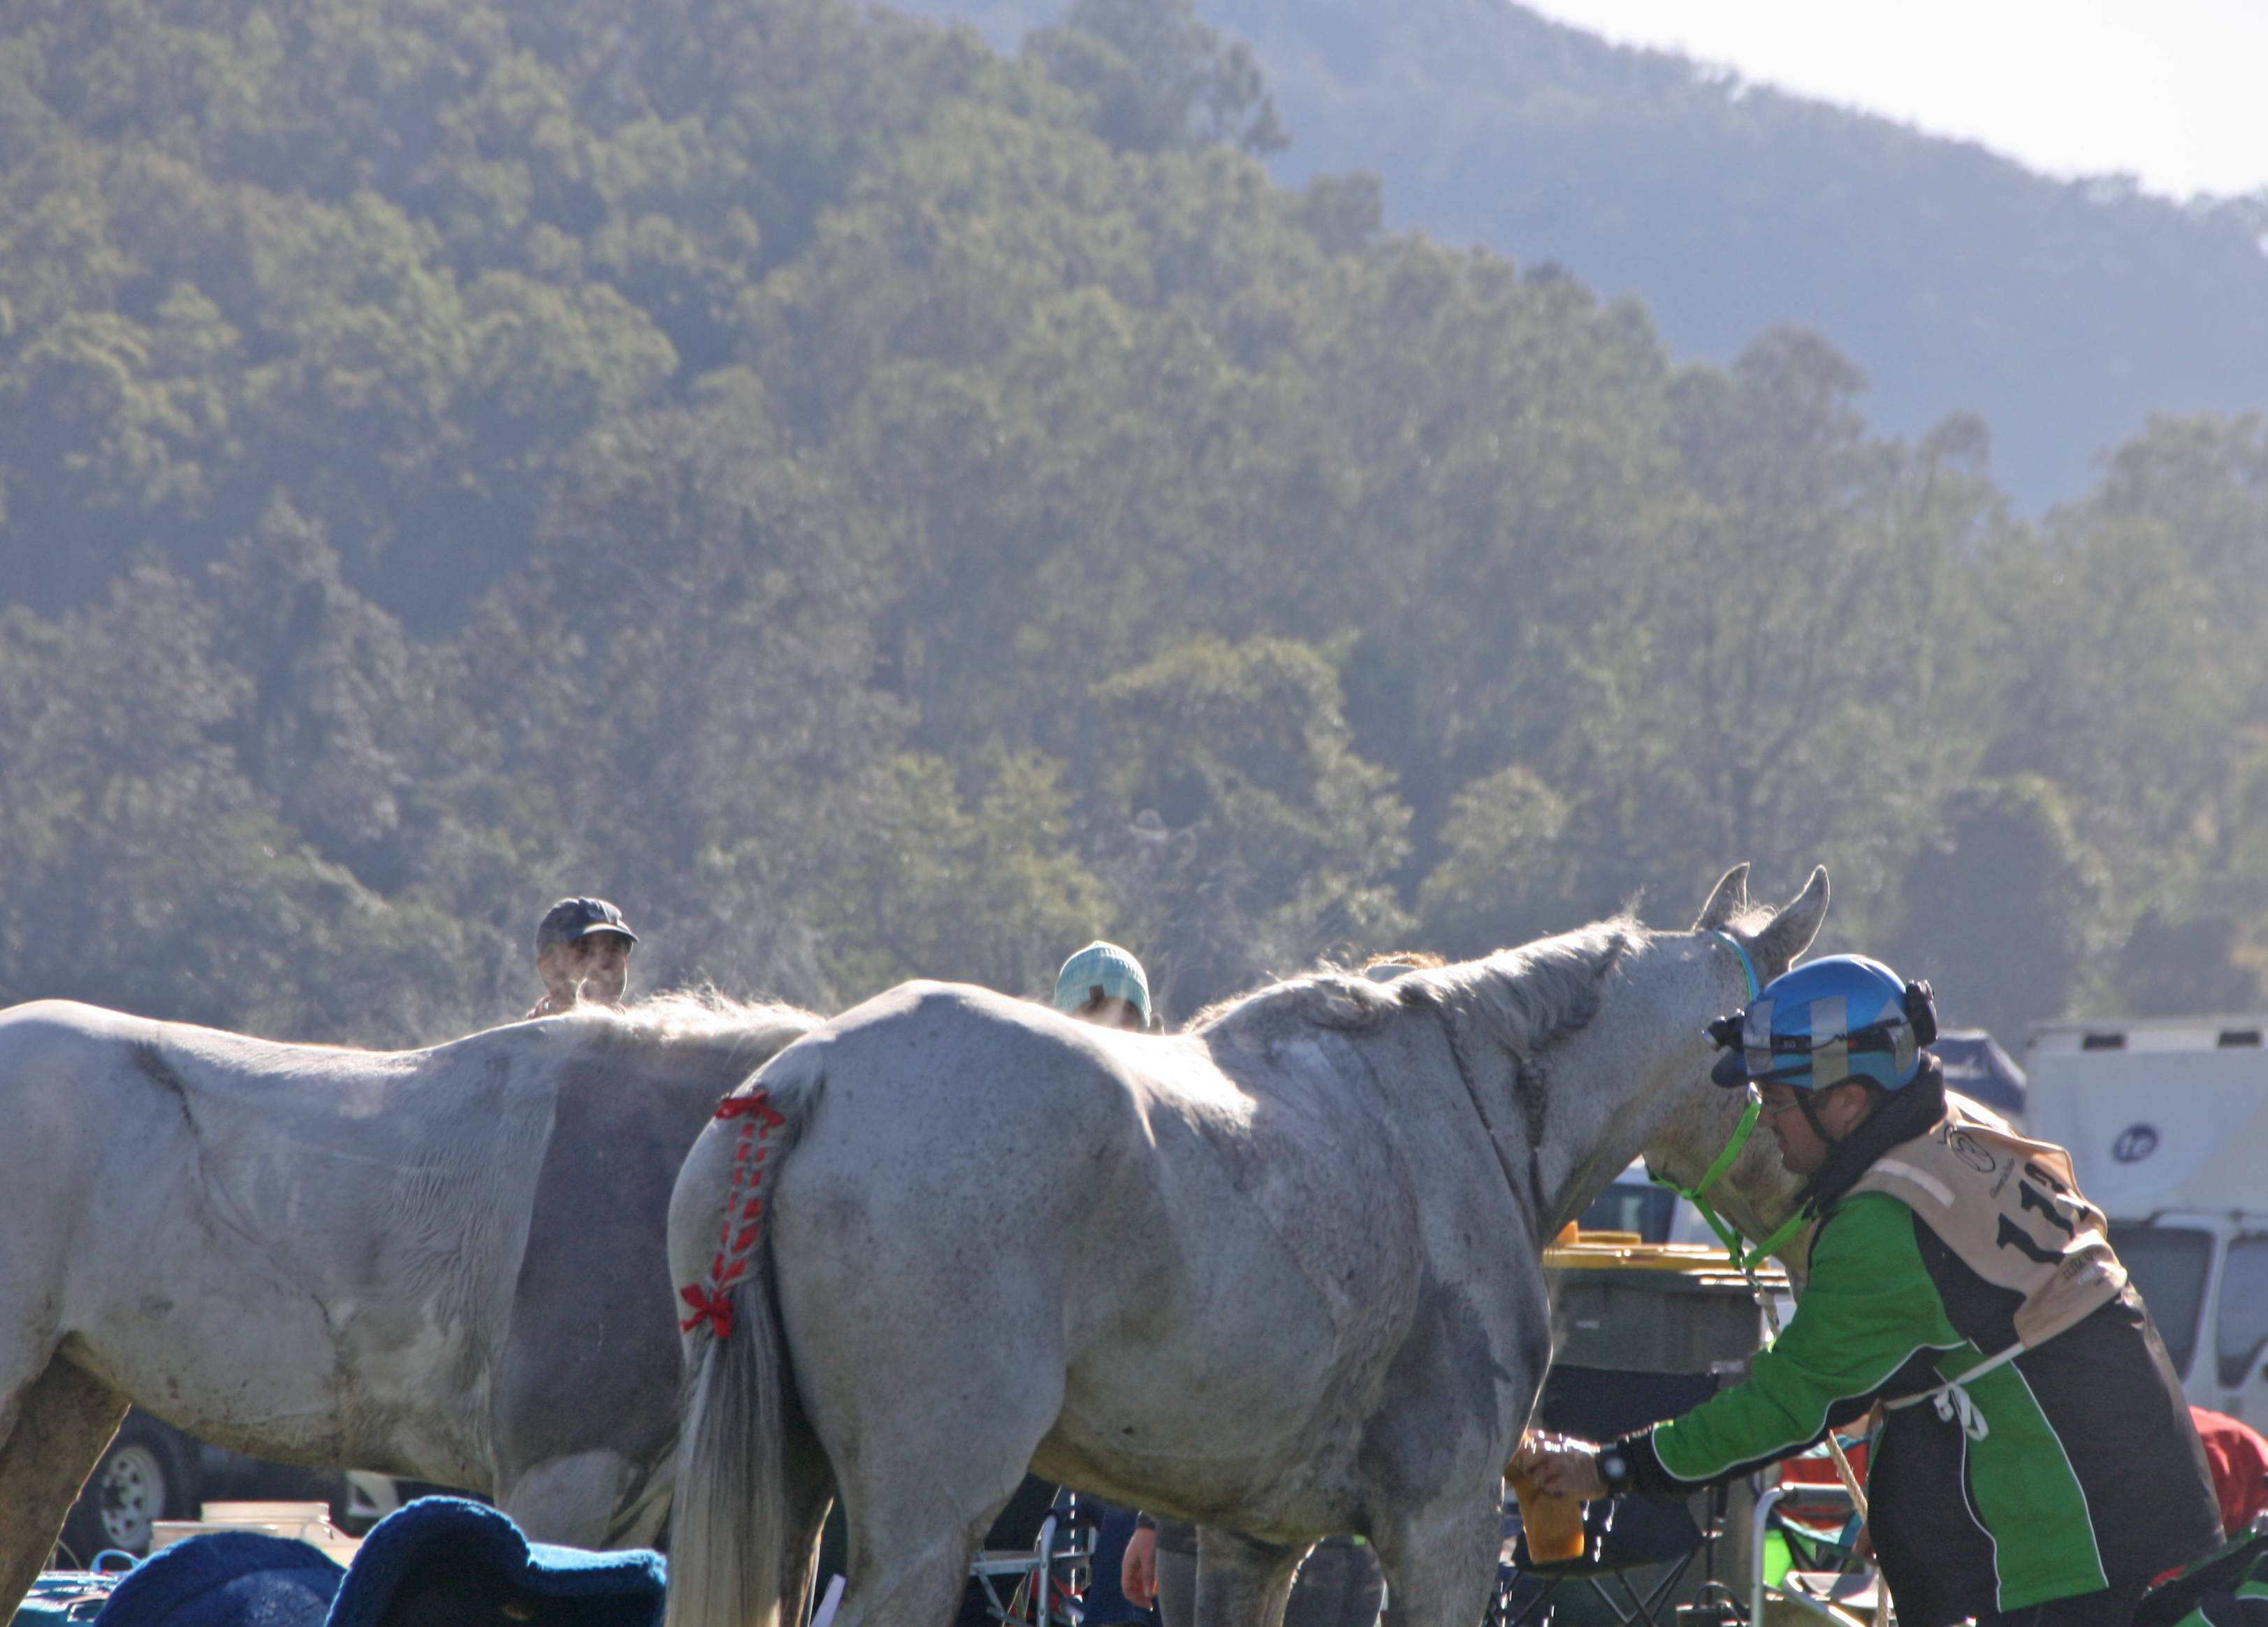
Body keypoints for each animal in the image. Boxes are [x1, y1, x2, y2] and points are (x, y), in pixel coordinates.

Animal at [663, 863, 1829, 1627]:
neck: (1467, 1107)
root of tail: (805, 1077)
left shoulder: (1246, 1544)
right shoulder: (1442, 1529)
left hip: (799, 1503)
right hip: (924, 1528)